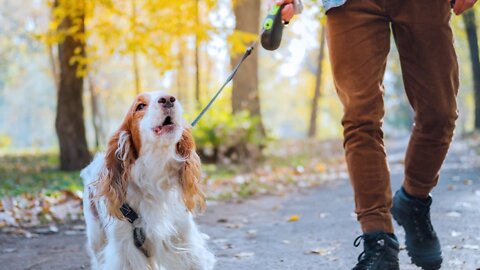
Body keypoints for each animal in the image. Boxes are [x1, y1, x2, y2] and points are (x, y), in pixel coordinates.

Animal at [81, 91, 216, 270]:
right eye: (140, 106)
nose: (168, 99)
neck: (155, 174)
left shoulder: (183, 239)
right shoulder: (125, 250)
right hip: (96, 237)